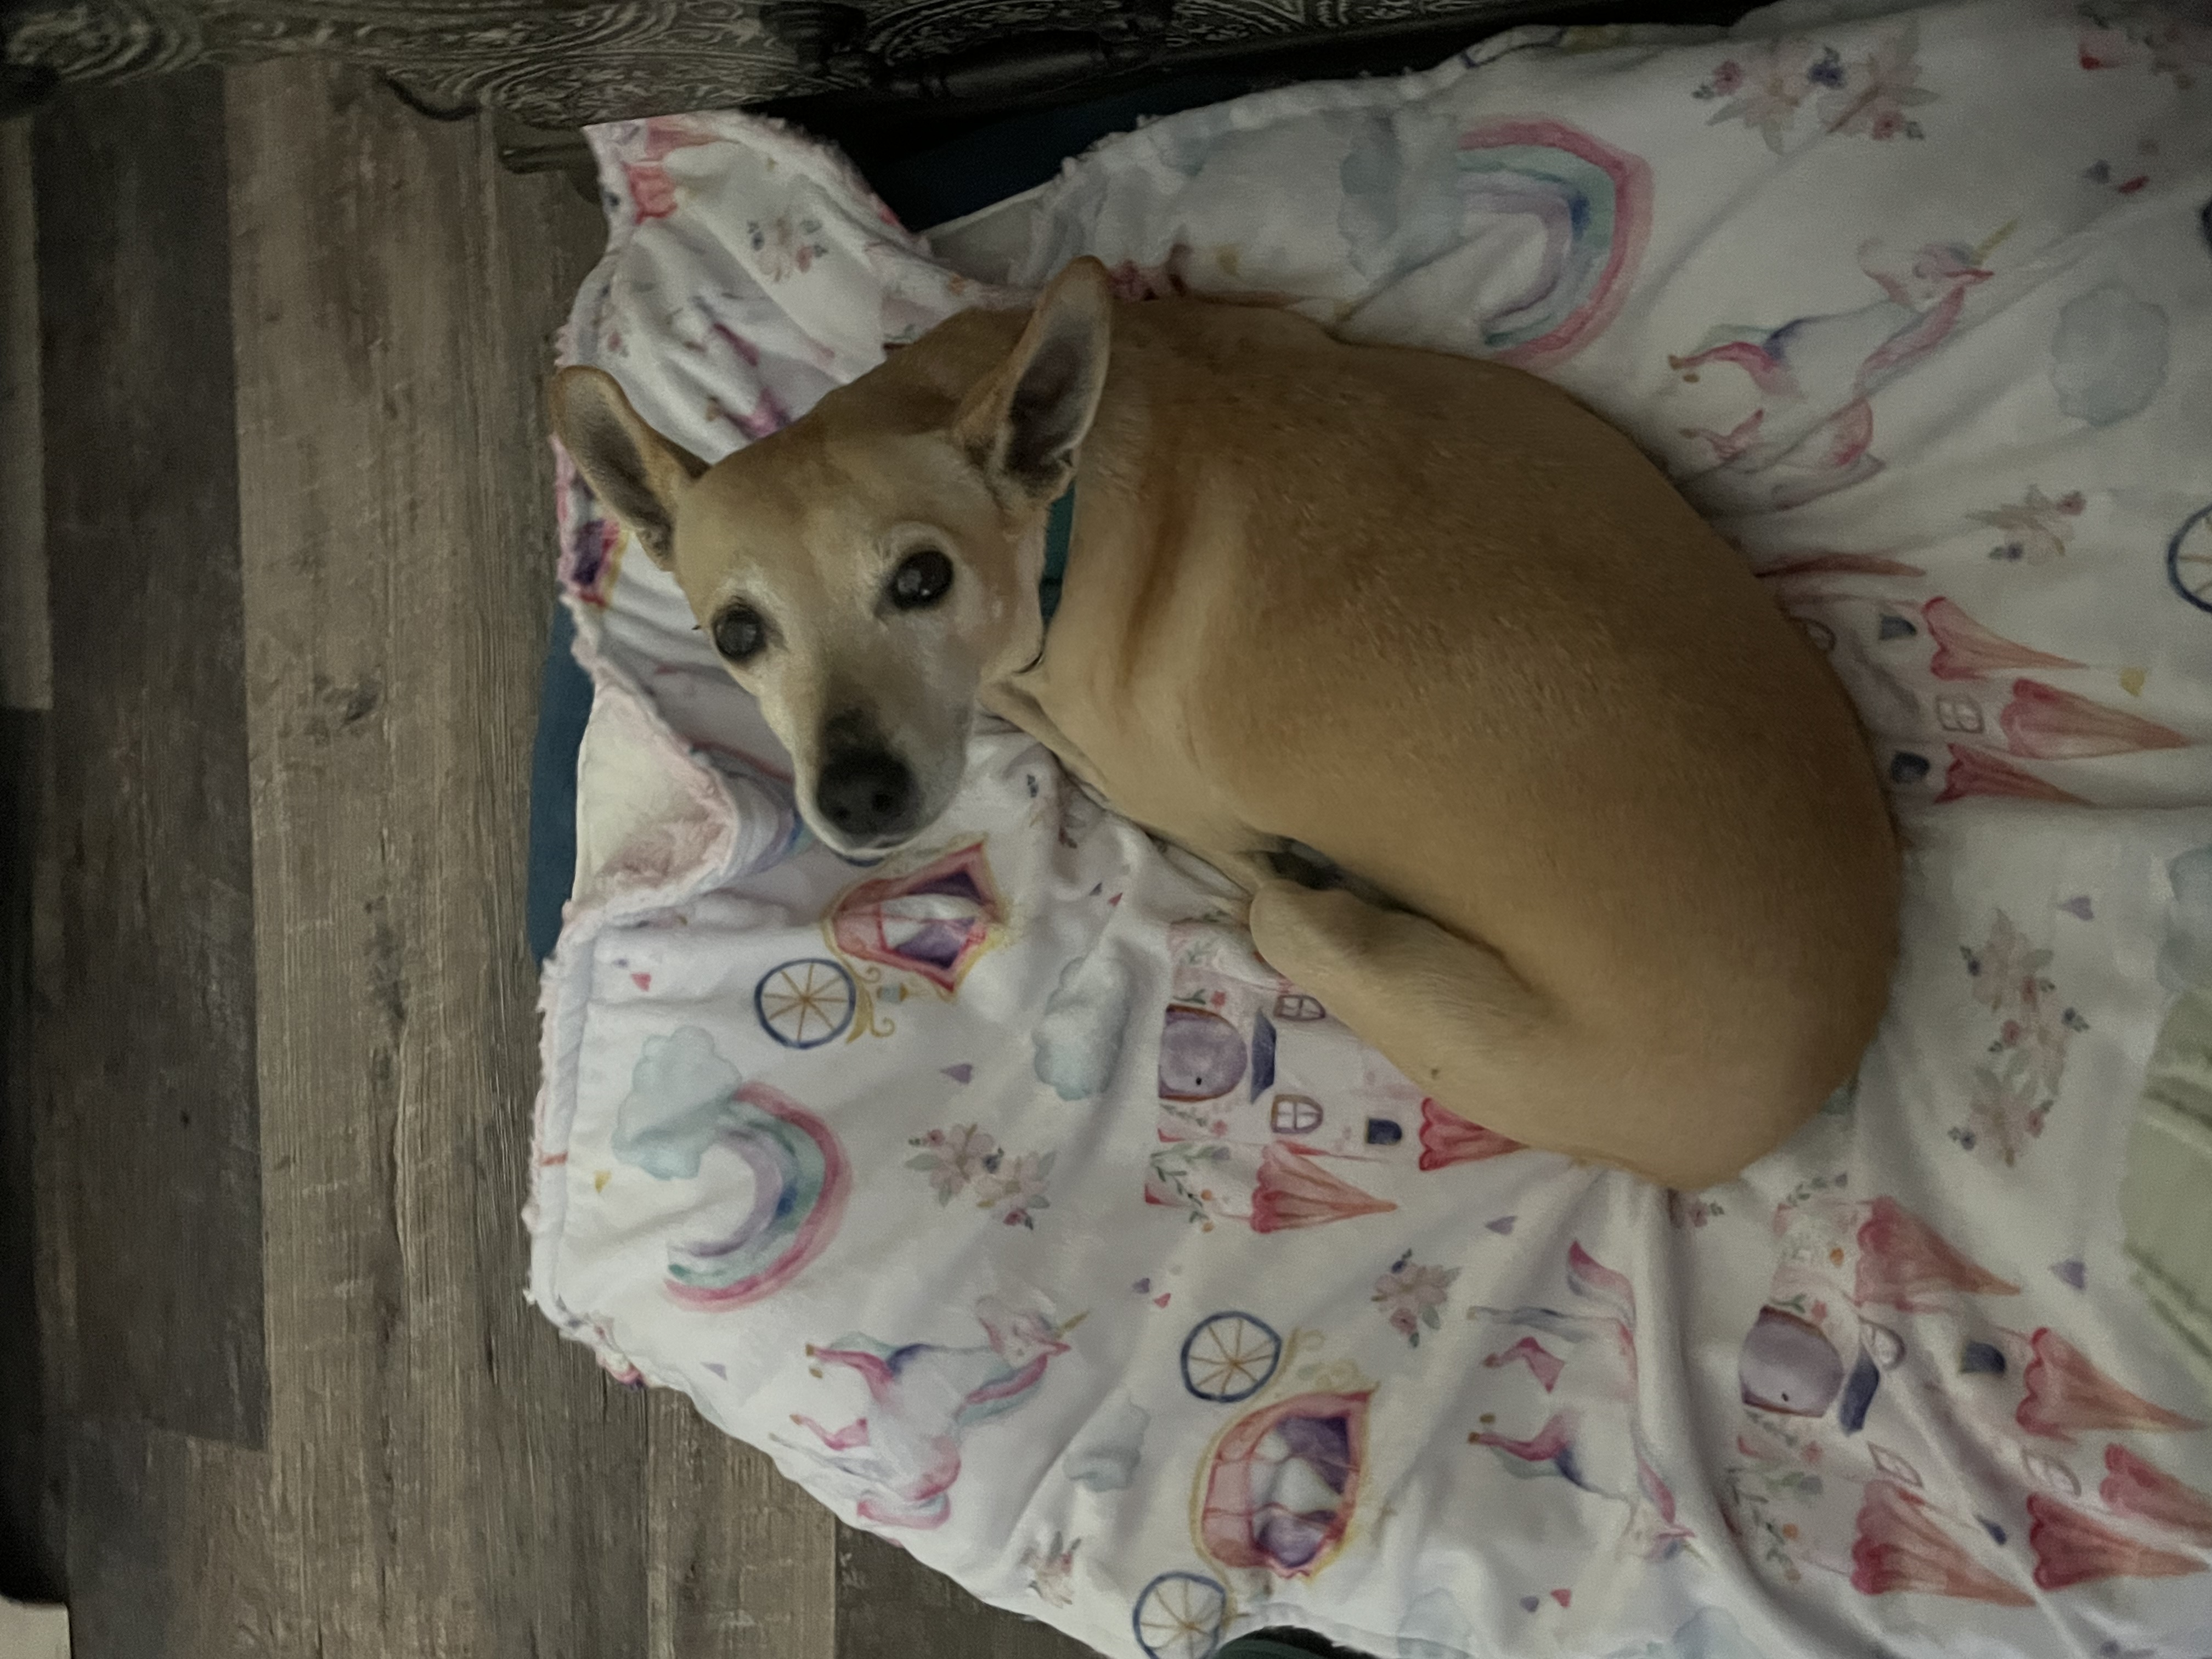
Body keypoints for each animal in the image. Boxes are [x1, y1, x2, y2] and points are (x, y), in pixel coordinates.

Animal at [553, 256, 1902, 1194]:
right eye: (738, 633)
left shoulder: (1161, 789)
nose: (858, 794)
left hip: (1326, 943)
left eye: (923, 579)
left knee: (1276, 911)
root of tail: (1819, 1067)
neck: (1065, 508)